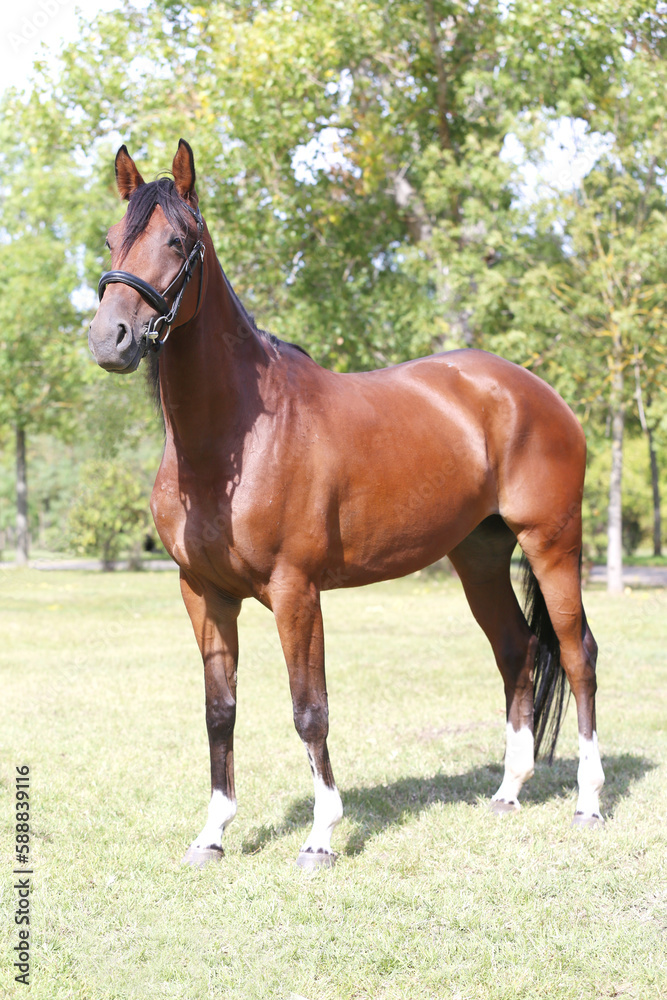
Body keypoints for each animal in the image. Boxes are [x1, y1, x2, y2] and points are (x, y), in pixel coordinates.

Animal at [88, 139, 604, 868]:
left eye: (176, 240)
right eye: (112, 238)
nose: (111, 338)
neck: (234, 437)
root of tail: (534, 391)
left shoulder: (296, 591)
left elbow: (310, 709)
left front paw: (321, 835)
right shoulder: (203, 593)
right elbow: (220, 711)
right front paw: (212, 833)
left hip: (552, 542)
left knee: (576, 652)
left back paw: (588, 801)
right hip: (478, 556)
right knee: (515, 650)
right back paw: (508, 791)